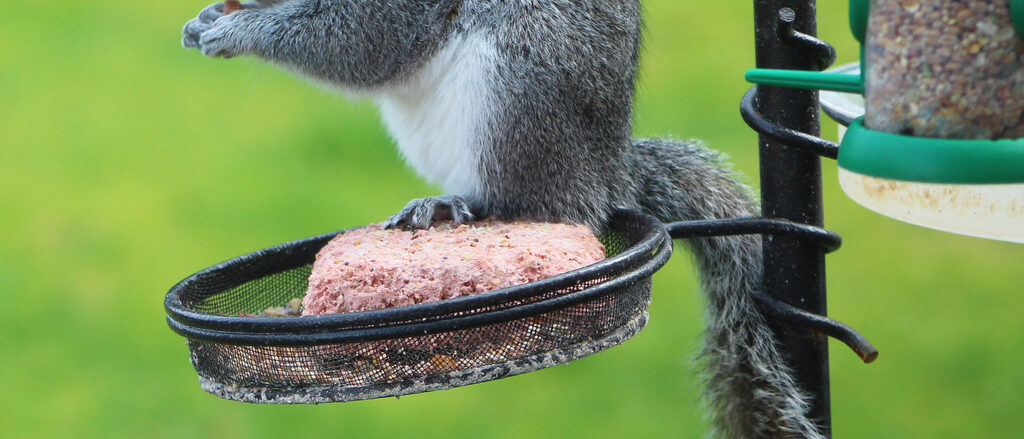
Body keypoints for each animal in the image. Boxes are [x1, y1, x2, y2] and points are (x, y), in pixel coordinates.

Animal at [183, 2, 824, 438]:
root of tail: (605, 176)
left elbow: (366, 41)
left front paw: (237, 30)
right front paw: (207, 18)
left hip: (517, 81)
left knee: (547, 204)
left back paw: (457, 206)